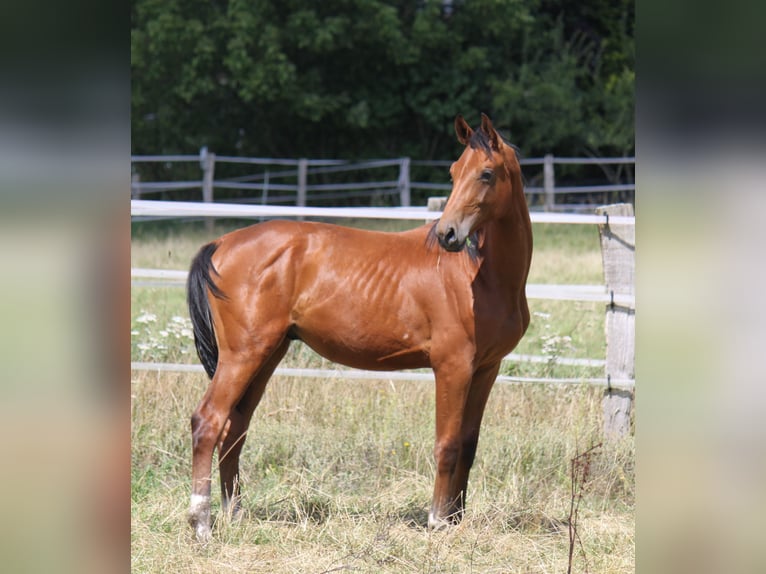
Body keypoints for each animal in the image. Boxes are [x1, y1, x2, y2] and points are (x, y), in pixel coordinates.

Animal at [186, 113, 536, 544]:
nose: (447, 234)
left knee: (234, 427)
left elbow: (468, 445)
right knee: (208, 421)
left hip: (266, 355)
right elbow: (448, 444)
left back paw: (233, 514)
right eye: (454, 173)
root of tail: (221, 244)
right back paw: (201, 523)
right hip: (243, 355)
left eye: (486, 173)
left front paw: (456, 520)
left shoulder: (486, 369)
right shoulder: (452, 367)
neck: (478, 276)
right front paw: (438, 520)